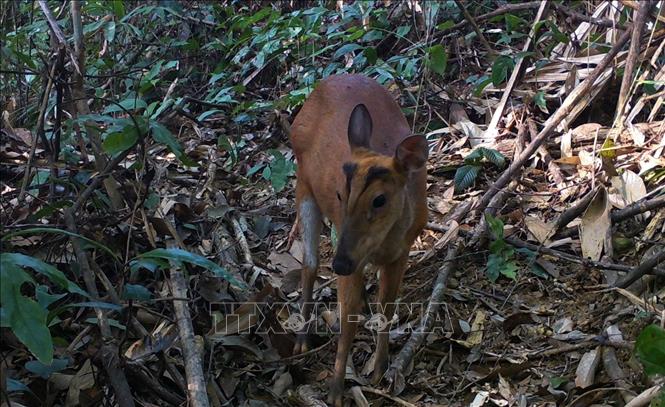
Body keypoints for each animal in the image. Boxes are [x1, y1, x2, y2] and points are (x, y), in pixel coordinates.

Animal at [288, 73, 428, 404]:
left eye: (379, 200)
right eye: (340, 193)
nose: (339, 264)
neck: (382, 241)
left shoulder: (401, 251)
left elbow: (387, 306)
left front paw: (380, 368)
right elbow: (347, 320)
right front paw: (336, 390)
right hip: (303, 185)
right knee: (310, 263)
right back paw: (301, 340)